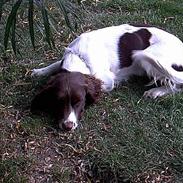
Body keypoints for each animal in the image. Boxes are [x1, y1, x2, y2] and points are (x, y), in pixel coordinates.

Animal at [31, 23, 183, 131]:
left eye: (79, 102)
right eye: (59, 101)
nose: (68, 126)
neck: (79, 57)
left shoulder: (108, 81)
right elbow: (55, 65)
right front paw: (40, 71)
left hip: (149, 59)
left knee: (177, 84)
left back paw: (155, 91)